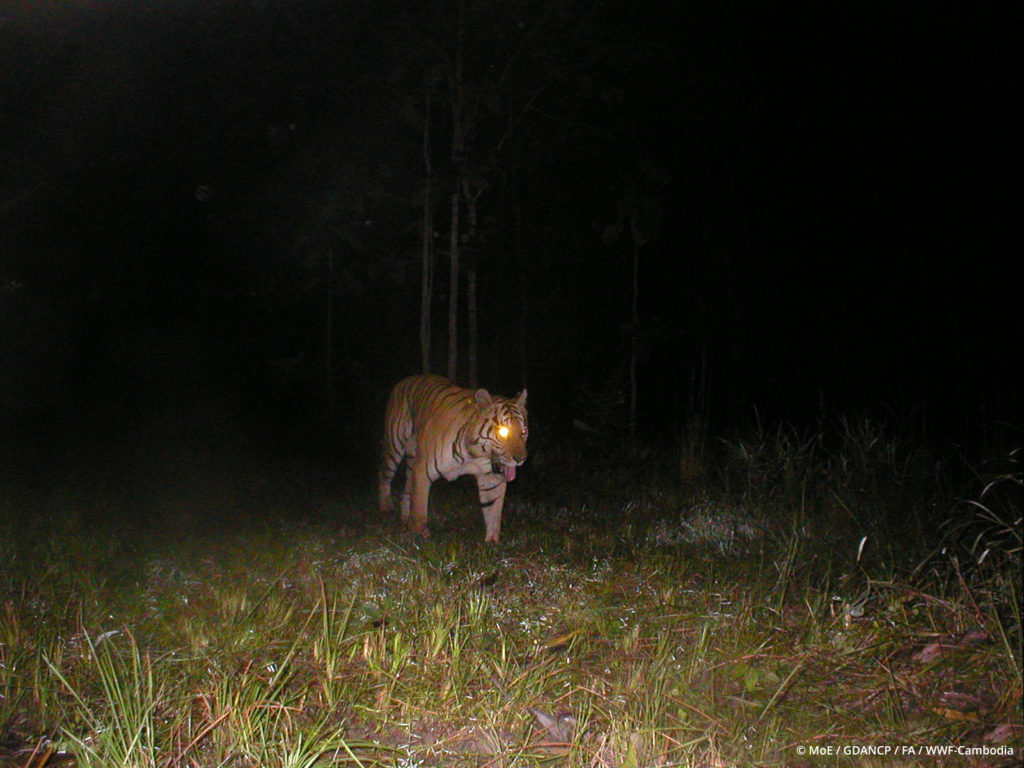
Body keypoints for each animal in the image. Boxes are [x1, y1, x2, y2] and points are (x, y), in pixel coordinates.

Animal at [380, 376, 532, 544]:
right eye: (503, 432)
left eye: (523, 431)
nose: (521, 459)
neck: (474, 454)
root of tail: (406, 379)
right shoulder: (422, 470)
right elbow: (420, 506)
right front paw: (418, 536)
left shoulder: (492, 477)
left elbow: (493, 511)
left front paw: (492, 543)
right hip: (394, 445)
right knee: (384, 474)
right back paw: (386, 508)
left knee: (407, 489)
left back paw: (405, 518)